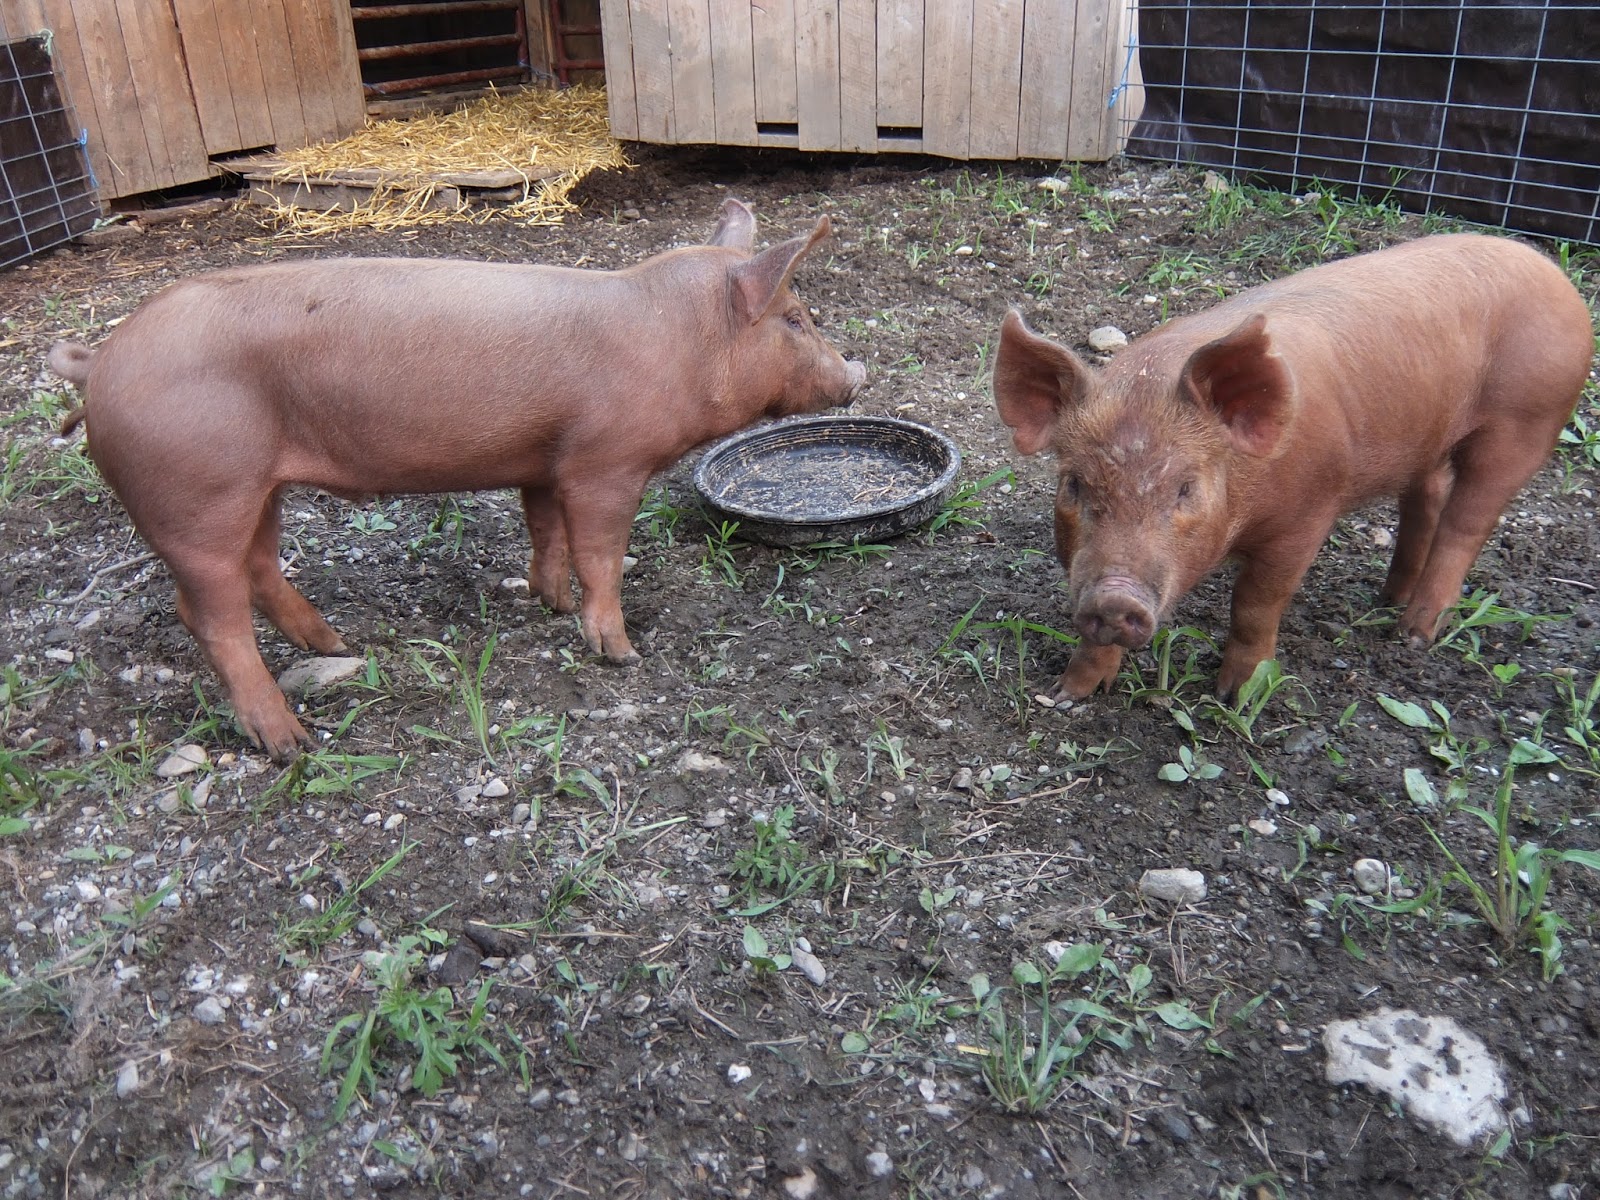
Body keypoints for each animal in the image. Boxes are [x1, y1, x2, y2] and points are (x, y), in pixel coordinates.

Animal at [47, 198, 866, 760]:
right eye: (796, 319)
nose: (855, 374)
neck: (678, 338)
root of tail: (102, 360)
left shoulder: (544, 461)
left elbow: (546, 531)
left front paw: (547, 600)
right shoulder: (605, 463)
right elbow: (600, 549)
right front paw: (619, 650)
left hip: (255, 491)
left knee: (256, 571)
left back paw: (334, 642)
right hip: (198, 497)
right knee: (210, 614)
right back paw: (289, 742)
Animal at [993, 233, 1593, 701]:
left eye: (1186, 488)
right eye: (1074, 484)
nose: (1117, 598)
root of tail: (1552, 274)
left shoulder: (1307, 515)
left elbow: (1255, 605)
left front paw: (1234, 695)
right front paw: (1067, 696)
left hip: (1526, 421)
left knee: (1467, 522)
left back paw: (1414, 634)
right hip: (1427, 435)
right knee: (1426, 499)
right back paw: (1388, 601)